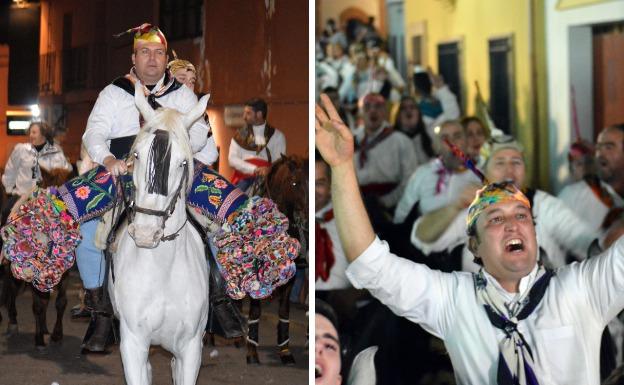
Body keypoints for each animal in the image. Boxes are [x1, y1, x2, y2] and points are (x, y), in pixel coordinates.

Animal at [1, 166, 73, 352]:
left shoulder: (65, 274)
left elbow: (60, 302)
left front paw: (56, 335)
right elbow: (38, 306)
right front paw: (39, 339)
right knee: (12, 291)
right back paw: (13, 323)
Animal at [109, 84, 210, 384]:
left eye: (182, 163)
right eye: (136, 155)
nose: (145, 233)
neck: (163, 272)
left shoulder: (190, 348)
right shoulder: (133, 344)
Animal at [244, 153, 308, 364]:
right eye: (295, 183)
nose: (306, 218)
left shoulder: (291, 276)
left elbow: (284, 311)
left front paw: (285, 351)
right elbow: (255, 310)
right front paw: (252, 352)